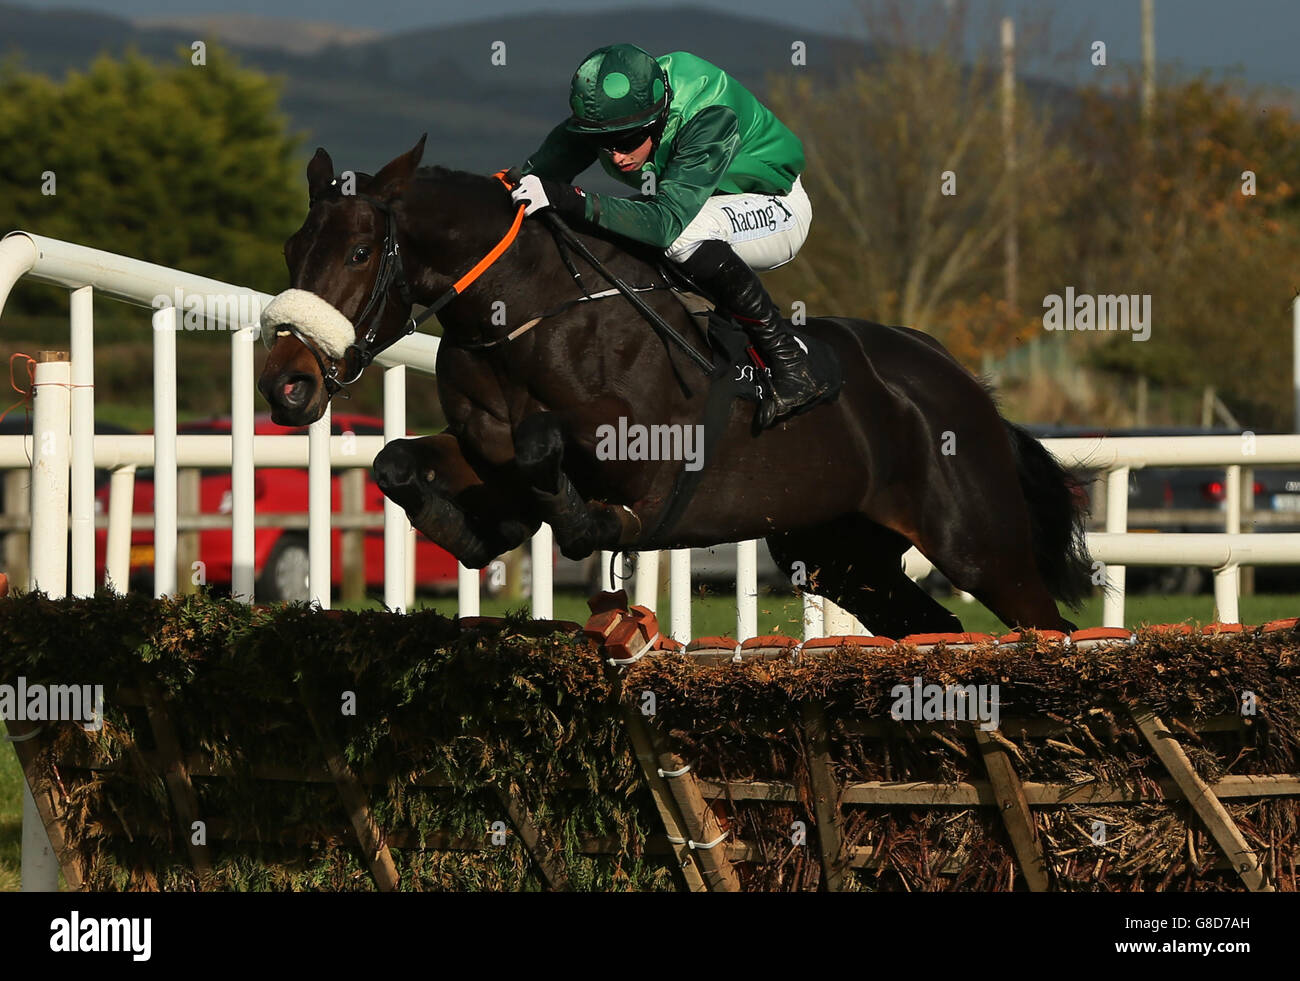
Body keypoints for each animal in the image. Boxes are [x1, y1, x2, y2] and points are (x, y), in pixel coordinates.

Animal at [258, 138, 1092, 636]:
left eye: (359, 251)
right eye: (293, 247)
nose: (286, 382)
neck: (526, 318)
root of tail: (966, 386)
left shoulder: (643, 459)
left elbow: (544, 451)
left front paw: (579, 521)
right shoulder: (478, 447)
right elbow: (400, 458)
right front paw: (474, 529)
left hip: (980, 545)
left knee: (1046, 624)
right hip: (843, 553)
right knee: (936, 631)